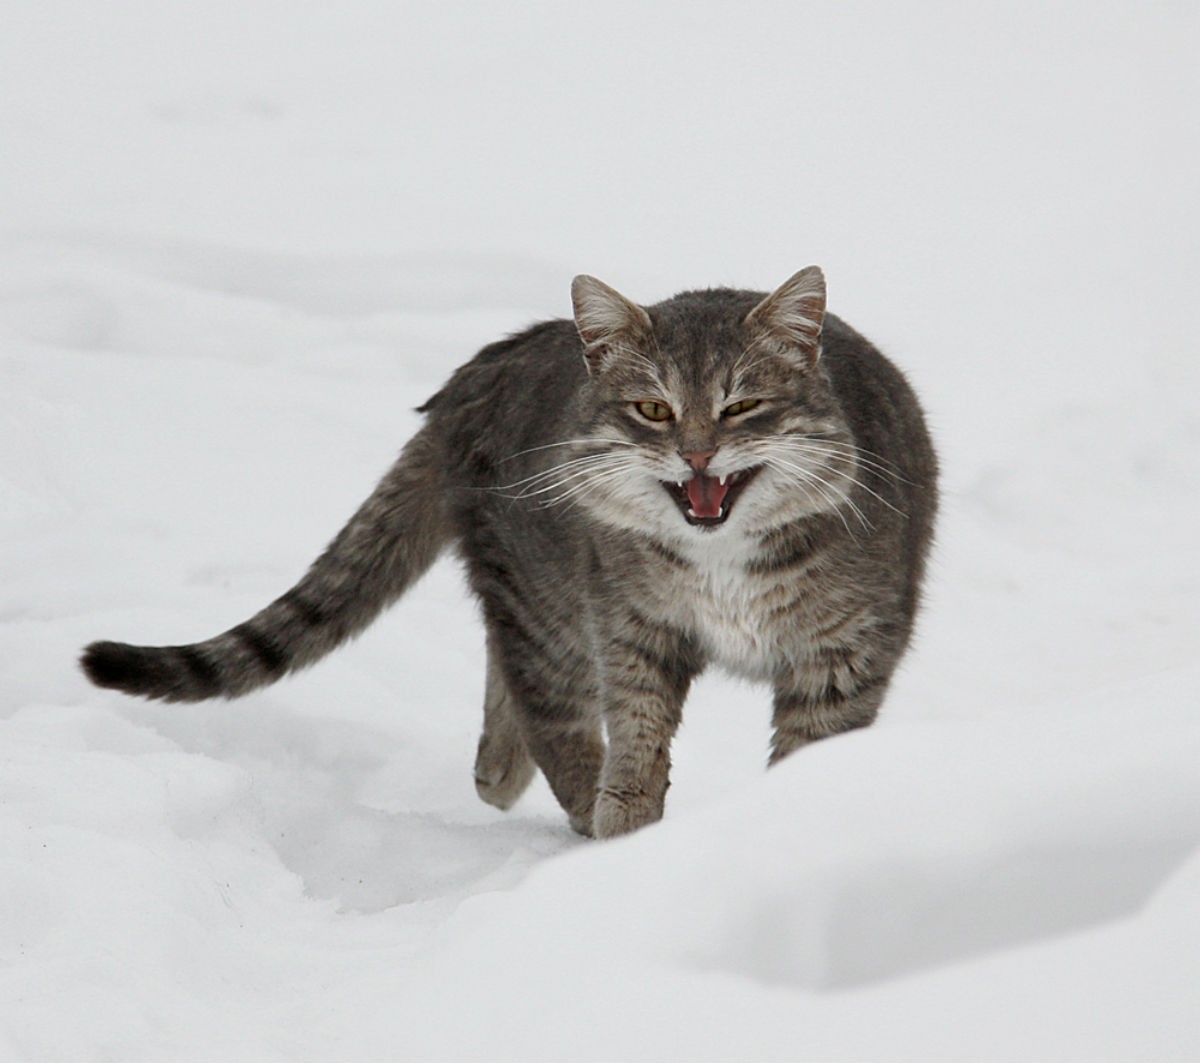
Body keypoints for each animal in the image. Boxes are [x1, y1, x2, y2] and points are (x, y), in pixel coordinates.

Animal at [82, 269, 936, 844]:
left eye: (743, 405)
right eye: (652, 409)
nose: (696, 454)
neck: (720, 557)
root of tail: (481, 368)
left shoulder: (842, 657)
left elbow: (809, 756)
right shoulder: (629, 631)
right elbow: (631, 749)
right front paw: (628, 836)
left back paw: (500, 771)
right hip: (544, 597)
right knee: (541, 697)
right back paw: (538, 792)